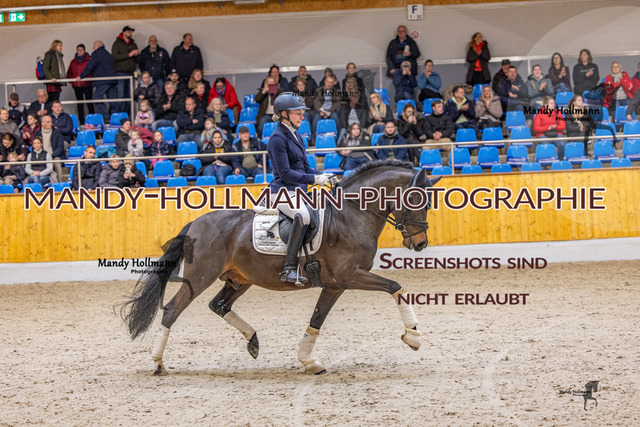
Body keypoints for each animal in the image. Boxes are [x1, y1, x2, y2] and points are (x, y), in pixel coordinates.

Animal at [121, 159, 441, 375]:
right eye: (415, 198)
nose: (420, 243)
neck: (352, 214)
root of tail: (195, 225)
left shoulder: (335, 285)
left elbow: (316, 320)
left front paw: (309, 361)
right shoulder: (350, 276)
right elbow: (395, 287)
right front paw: (413, 336)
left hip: (239, 279)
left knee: (219, 305)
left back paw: (253, 341)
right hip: (200, 278)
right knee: (172, 310)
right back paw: (158, 364)